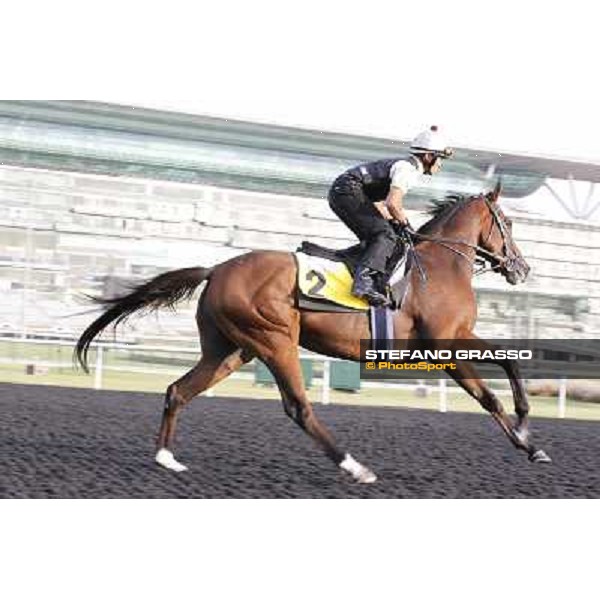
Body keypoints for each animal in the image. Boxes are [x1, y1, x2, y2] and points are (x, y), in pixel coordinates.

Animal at [77, 183, 552, 482]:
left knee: (179, 390)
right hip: (274, 341)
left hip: (230, 349)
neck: (438, 267)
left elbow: (508, 361)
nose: (522, 268)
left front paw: (529, 433)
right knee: (298, 408)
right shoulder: (442, 346)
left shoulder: (459, 334)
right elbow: (487, 397)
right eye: (508, 224)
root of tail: (216, 269)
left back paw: (166, 458)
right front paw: (524, 439)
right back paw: (354, 467)